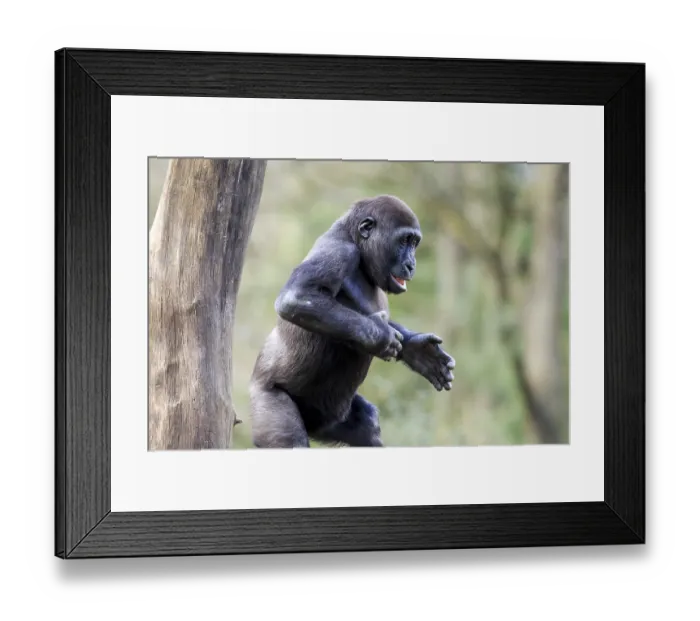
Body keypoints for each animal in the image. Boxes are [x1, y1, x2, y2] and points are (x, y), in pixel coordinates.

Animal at [248, 194, 455, 449]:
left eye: (414, 243)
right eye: (404, 241)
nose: (411, 264)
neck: (355, 241)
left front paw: (418, 351)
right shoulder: (339, 251)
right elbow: (297, 296)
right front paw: (380, 336)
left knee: (368, 427)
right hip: (266, 399)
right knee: (290, 440)